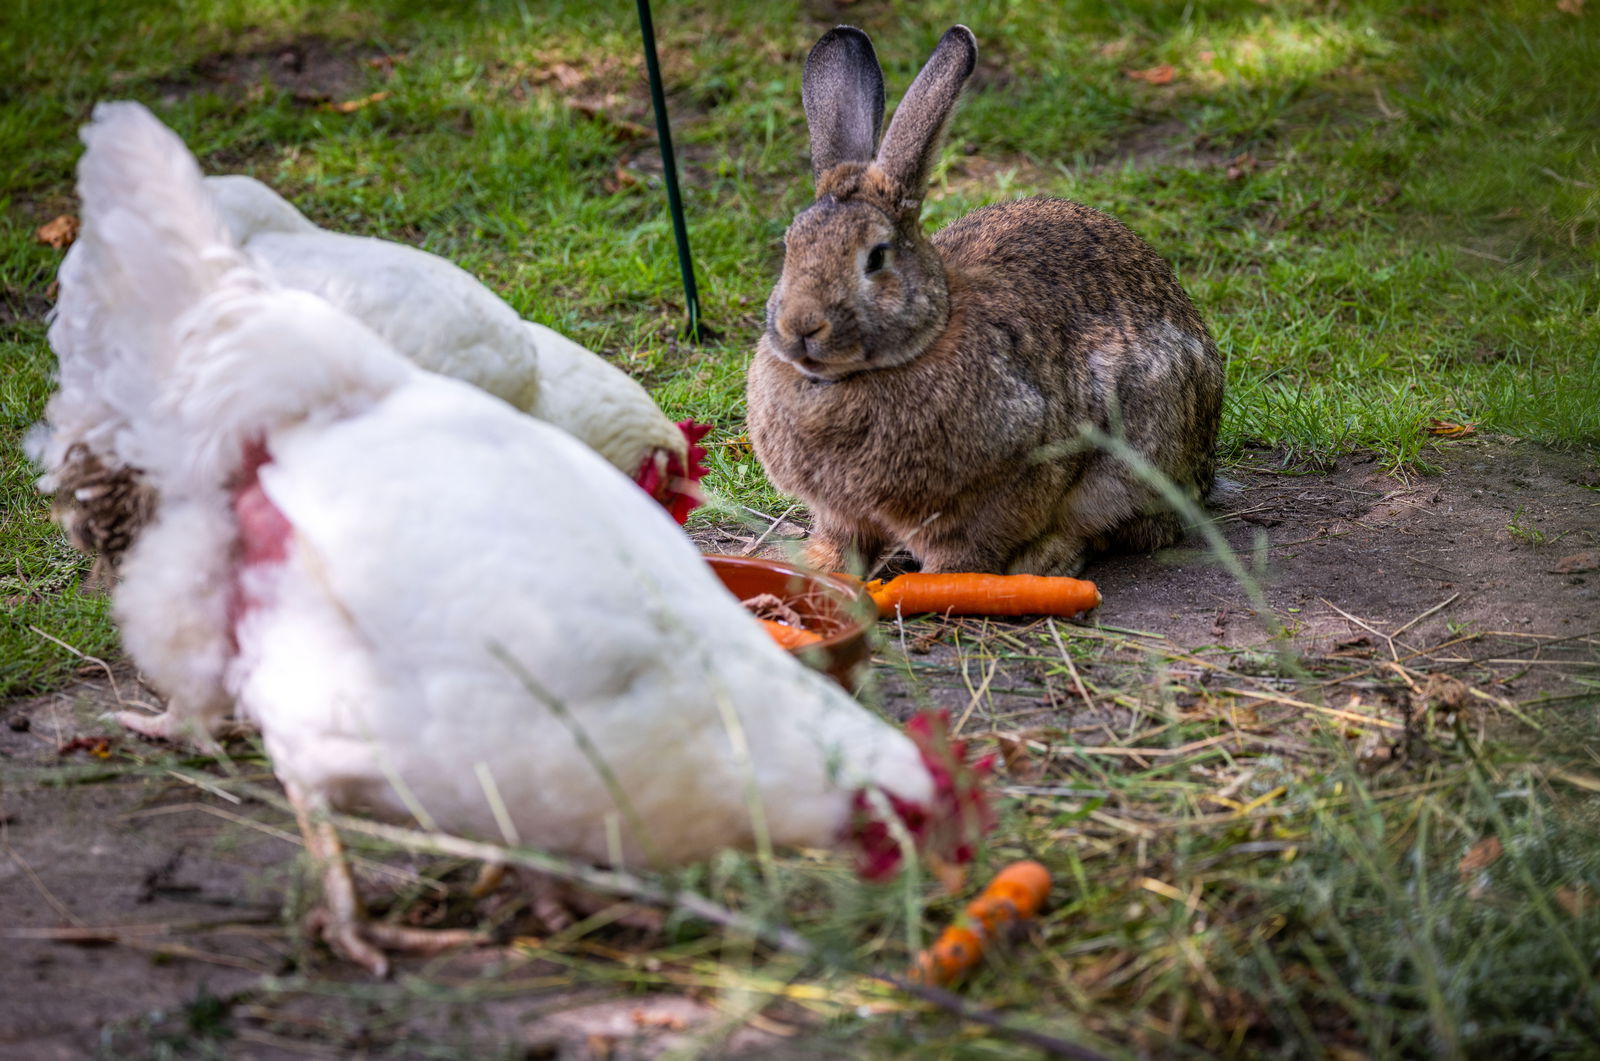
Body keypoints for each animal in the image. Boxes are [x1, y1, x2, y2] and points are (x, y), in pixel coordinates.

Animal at [746, 24, 1224, 578]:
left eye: (876, 257)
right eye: (790, 245)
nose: (801, 326)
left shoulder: (1001, 490)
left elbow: (964, 555)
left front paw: (935, 584)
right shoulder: (841, 513)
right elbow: (840, 542)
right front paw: (817, 572)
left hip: (1137, 458)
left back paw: (1044, 562)